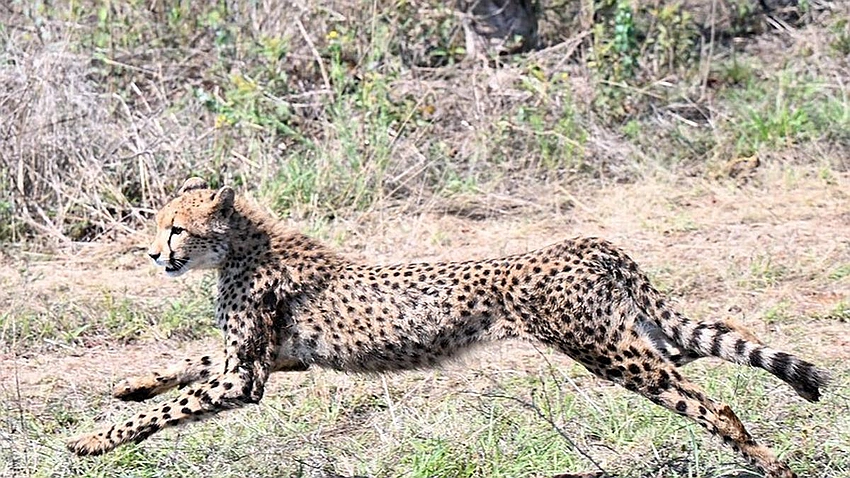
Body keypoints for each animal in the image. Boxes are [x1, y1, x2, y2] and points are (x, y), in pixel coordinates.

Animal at [67, 177, 829, 478]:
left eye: (175, 228)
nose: (152, 254)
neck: (241, 245)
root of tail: (591, 242)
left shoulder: (249, 377)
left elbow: (177, 403)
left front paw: (93, 440)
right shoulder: (278, 359)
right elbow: (185, 367)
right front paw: (130, 384)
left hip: (608, 351)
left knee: (713, 404)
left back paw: (770, 464)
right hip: (637, 335)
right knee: (711, 336)